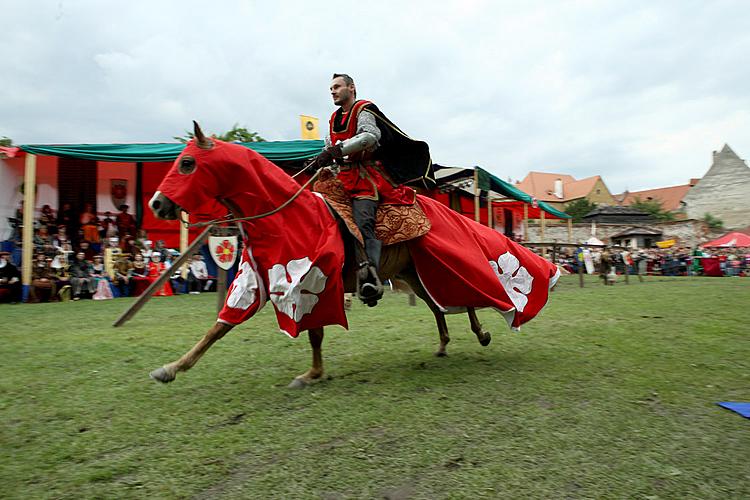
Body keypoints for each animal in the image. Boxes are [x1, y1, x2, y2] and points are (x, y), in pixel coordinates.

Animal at [148, 123, 560, 388]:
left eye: (187, 163)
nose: (156, 204)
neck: (288, 217)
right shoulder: (261, 284)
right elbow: (218, 328)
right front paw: (170, 368)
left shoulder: (314, 282)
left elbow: (315, 333)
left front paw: (311, 375)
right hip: (414, 273)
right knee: (438, 304)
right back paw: (446, 342)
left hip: (437, 263)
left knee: (467, 293)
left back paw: (482, 333)